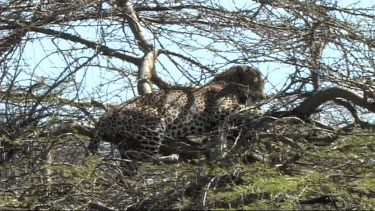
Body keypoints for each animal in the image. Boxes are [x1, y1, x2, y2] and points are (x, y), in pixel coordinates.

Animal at [87, 66, 266, 175]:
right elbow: (244, 110)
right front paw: (261, 112)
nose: (264, 96)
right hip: (155, 123)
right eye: (257, 82)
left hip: (127, 144)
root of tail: (105, 116)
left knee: (129, 162)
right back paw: (169, 158)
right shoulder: (221, 108)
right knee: (147, 156)